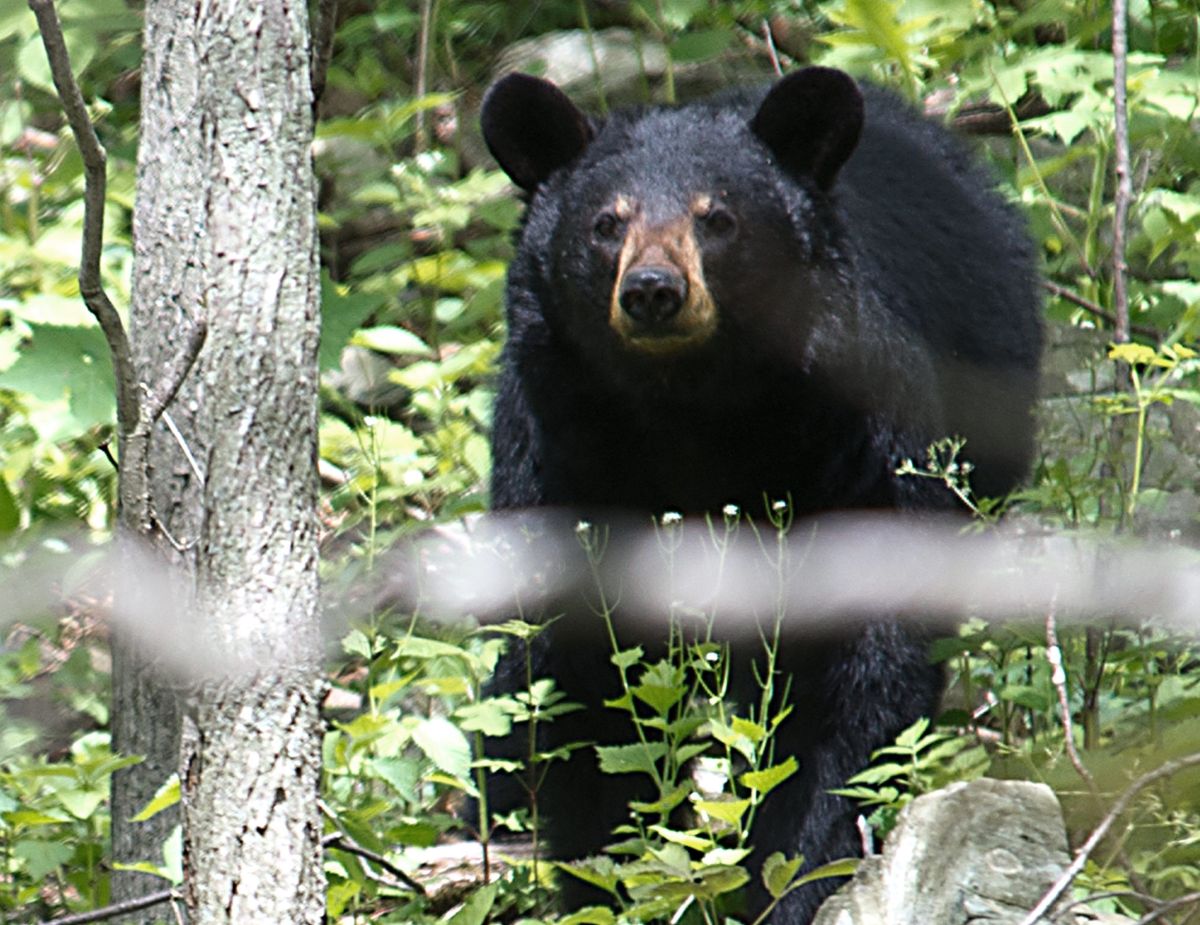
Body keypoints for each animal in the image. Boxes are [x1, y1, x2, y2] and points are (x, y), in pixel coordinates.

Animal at [479, 66, 1043, 924]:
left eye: (717, 218)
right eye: (606, 223)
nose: (653, 289)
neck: (690, 408)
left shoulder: (853, 442)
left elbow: (855, 671)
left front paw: (790, 876)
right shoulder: (561, 456)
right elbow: (582, 680)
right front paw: (618, 880)